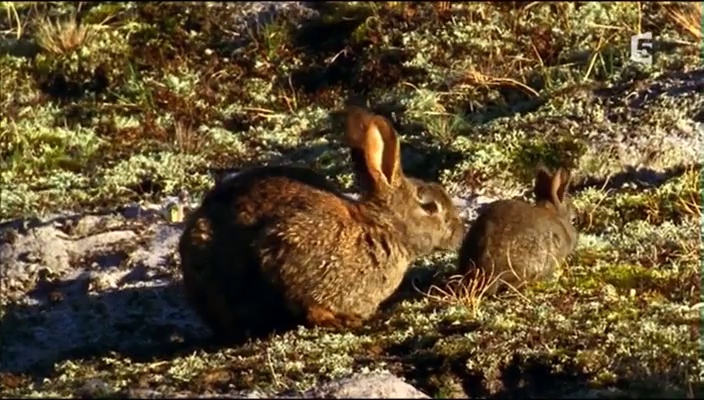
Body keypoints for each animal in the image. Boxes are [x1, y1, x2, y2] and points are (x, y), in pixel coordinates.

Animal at [177, 106, 468, 338]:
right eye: (430, 207)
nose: (459, 233)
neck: (381, 227)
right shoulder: (286, 248)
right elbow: (307, 302)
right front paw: (339, 321)